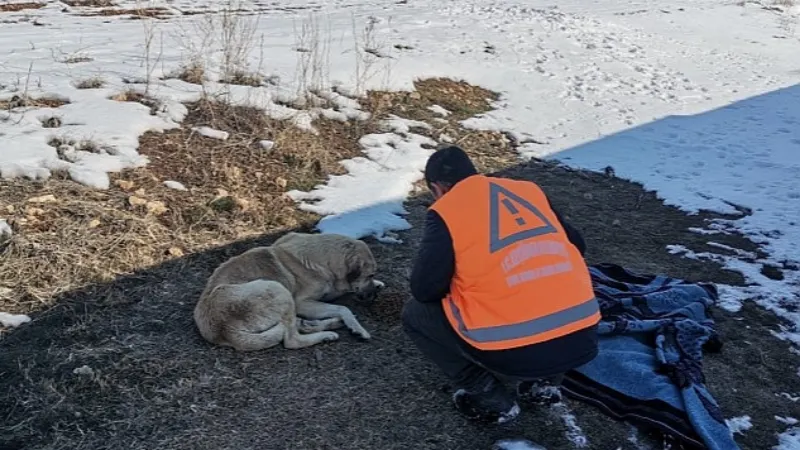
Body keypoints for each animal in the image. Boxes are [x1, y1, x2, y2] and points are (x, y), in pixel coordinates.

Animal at [192, 232, 382, 352]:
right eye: (370, 274)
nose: (373, 297)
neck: (321, 258)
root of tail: (222, 330)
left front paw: (379, 284)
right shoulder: (302, 303)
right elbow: (344, 308)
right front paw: (357, 328)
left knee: (298, 326)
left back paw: (329, 324)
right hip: (278, 289)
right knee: (292, 340)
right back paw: (327, 334)